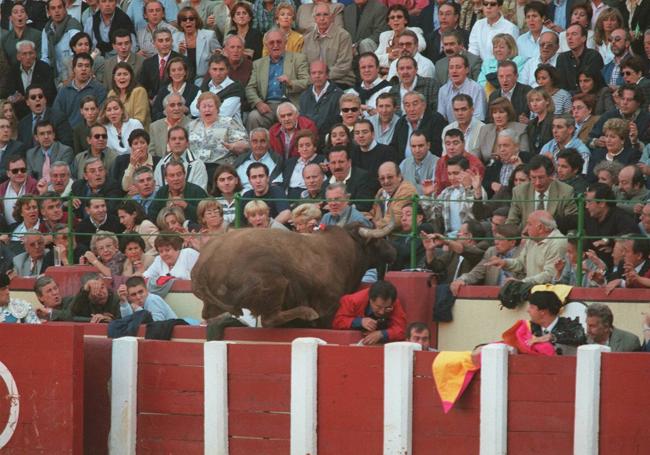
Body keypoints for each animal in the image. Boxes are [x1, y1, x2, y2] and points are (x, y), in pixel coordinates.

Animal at [191, 223, 394, 326]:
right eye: (377, 241)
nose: (394, 251)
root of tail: (204, 263)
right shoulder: (329, 305)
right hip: (275, 283)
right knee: (270, 318)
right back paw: (307, 312)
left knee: (207, 313)